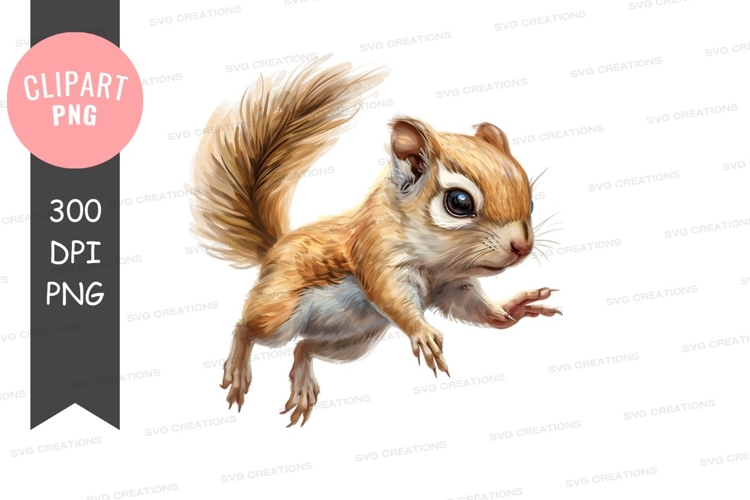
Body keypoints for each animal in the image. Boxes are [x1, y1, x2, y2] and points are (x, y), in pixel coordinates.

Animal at [188, 54, 561, 428]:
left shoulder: (453, 287)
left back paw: (303, 382)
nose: (522, 248)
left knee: (304, 347)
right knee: (246, 328)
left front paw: (513, 308)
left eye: (531, 202)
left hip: (355, 342)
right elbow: (391, 295)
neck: (438, 266)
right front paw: (423, 333)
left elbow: (476, 309)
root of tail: (274, 249)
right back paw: (238, 371)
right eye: (459, 202)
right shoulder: (376, 255)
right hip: (279, 315)